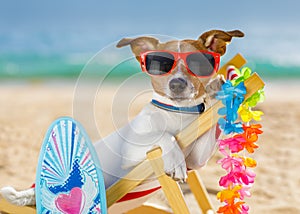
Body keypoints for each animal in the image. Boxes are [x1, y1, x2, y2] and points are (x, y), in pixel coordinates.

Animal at [0, 29, 244, 213]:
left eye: (198, 63)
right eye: (161, 65)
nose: (176, 84)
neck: (178, 113)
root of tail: (33, 192)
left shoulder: (197, 158)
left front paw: (218, 89)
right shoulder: (131, 154)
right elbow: (164, 136)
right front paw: (174, 160)